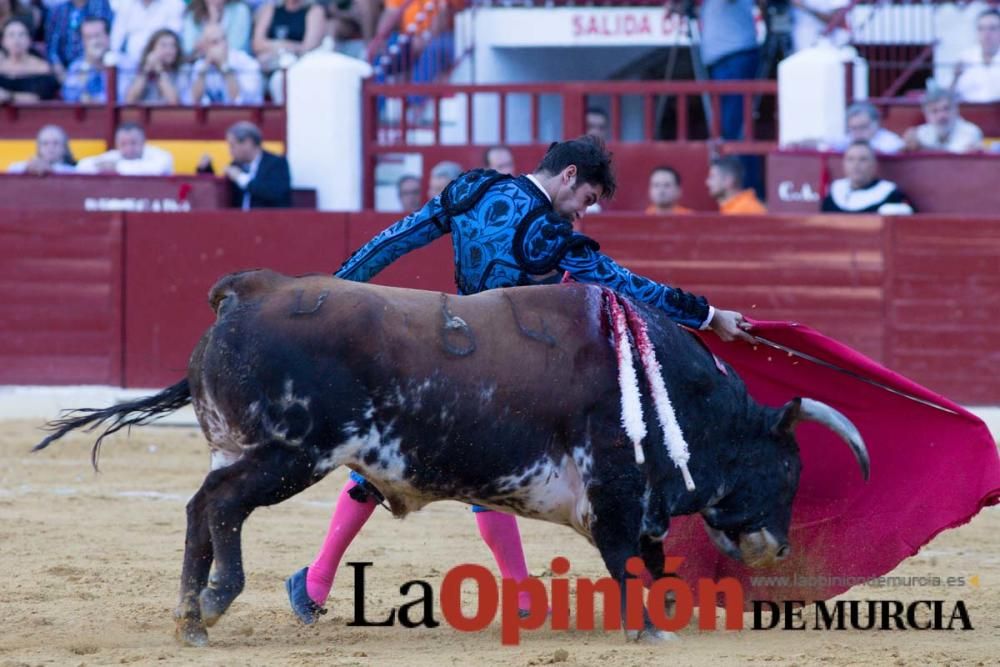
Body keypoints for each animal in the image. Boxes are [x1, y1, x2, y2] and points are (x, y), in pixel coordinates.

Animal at [35, 270, 868, 648]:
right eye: (787, 469)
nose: (776, 545)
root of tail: (245, 294)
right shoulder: (616, 496)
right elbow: (631, 560)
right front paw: (650, 633)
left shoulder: (635, 505)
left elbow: (651, 562)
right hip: (287, 454)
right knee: (221, 508)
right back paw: (211, 605)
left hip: (246, 450)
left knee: (199, 508)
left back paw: (192, 616)